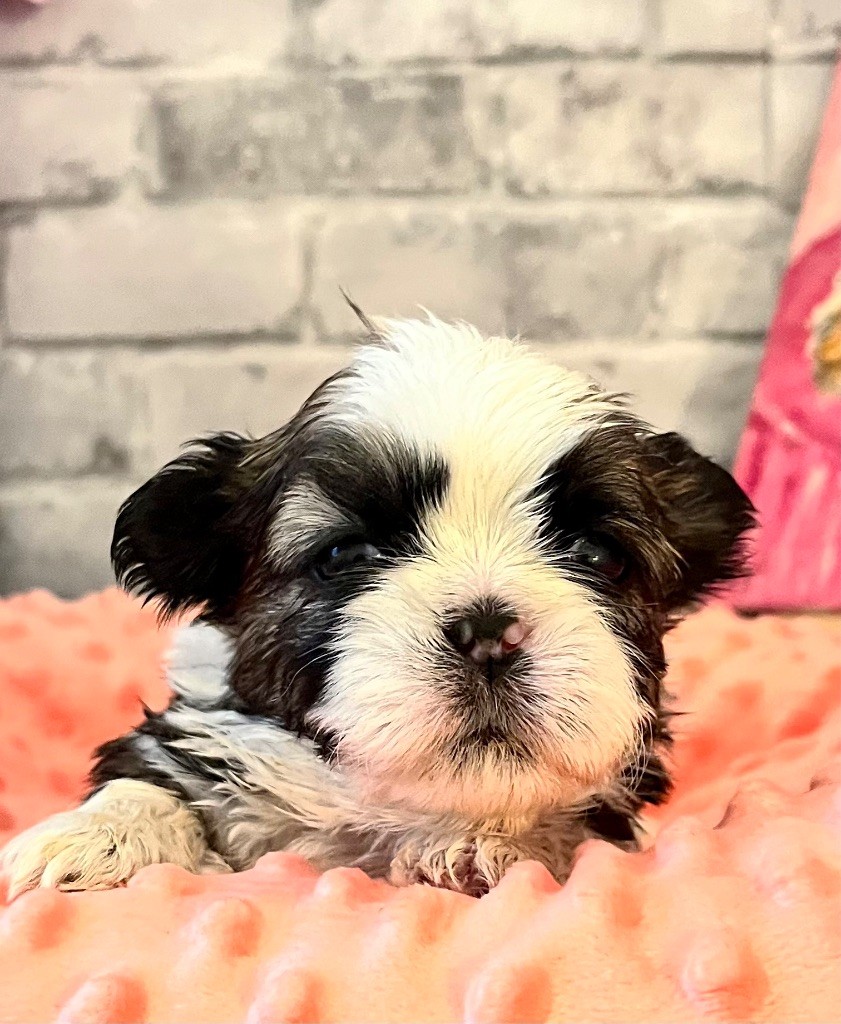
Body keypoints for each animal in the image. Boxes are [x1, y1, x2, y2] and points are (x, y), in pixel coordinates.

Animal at [1, 311, 753, 899]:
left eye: (598, 556)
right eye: (343, 556)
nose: (488, 632)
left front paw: (489, 847)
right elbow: (149, 779)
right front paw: (94, 836)